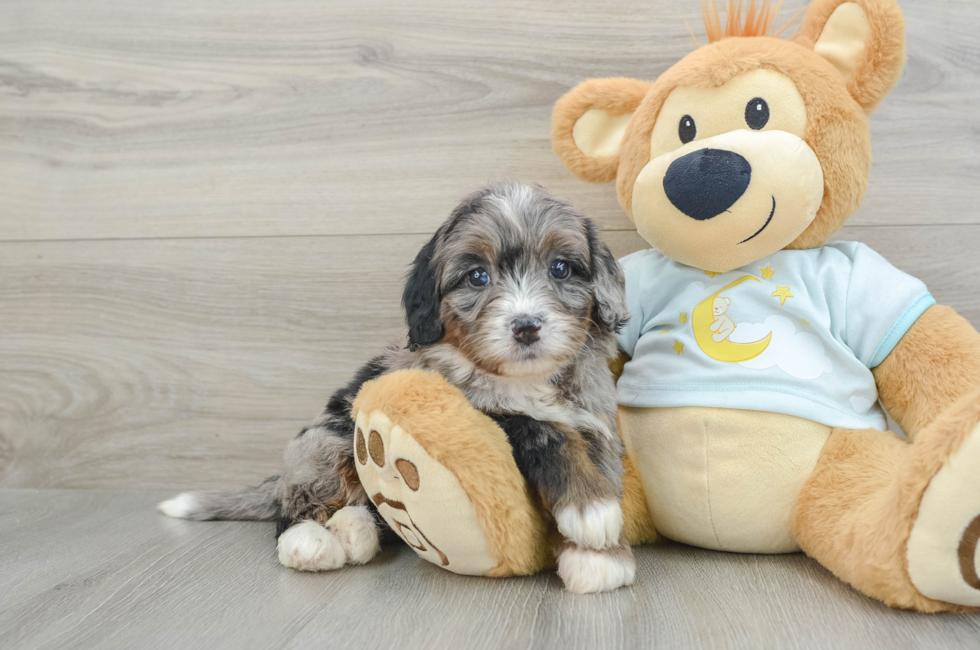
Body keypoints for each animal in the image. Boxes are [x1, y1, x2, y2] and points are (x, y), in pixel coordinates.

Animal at [159, 182, 636, 592]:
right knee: (296, 503)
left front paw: (599, 555)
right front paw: (590, 512)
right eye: (477, 276)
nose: (526, 326)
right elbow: (544, 429)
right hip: (324, 445)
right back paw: (309, 541)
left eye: (561, 268)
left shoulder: (596, 426)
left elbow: (602, 471)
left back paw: (355, 530)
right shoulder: (475, 415)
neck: (524, 380)